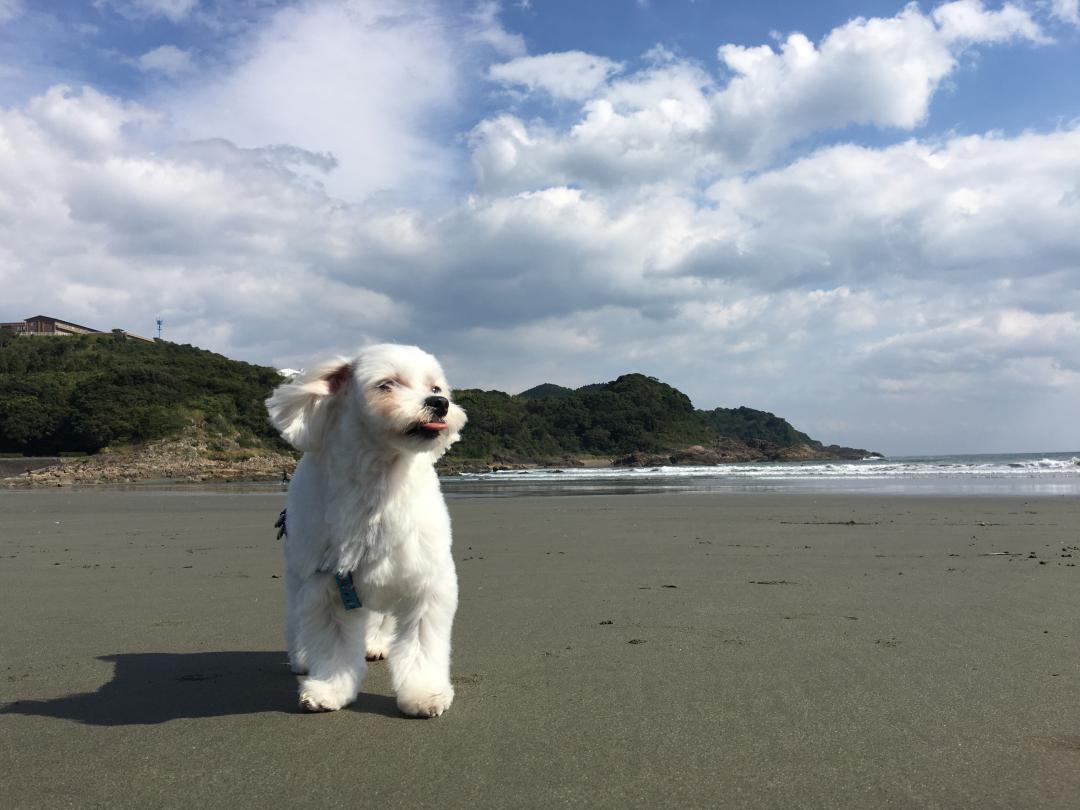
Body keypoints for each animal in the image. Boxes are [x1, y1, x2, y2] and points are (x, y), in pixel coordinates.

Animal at [264, 343, 464, 717]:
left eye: (436, 388)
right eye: (386, 385)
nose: (439, 403)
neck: (381, 480)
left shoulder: (425, 583)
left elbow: (421, 644)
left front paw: (424, 693)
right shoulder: (327, 586)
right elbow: (333, 644)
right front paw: (329, 689)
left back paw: (374, 643)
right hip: (298, 574)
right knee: (297, 618)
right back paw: (302, 657)